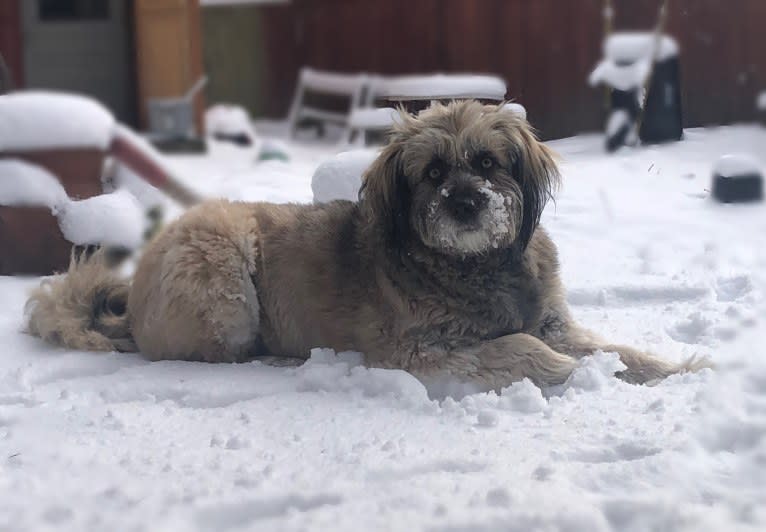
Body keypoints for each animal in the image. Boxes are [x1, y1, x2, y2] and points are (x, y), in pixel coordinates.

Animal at [25, 102, 708, 388]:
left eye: (488, 162)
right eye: (433, 172)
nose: (465, 203)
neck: (475, 265)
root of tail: (134, 298)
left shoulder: (552, 318)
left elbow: (614, 348)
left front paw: (673, 369)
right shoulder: (413, 348)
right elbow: (517, 347)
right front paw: (562, 371)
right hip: (221, 263)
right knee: (216, 354)